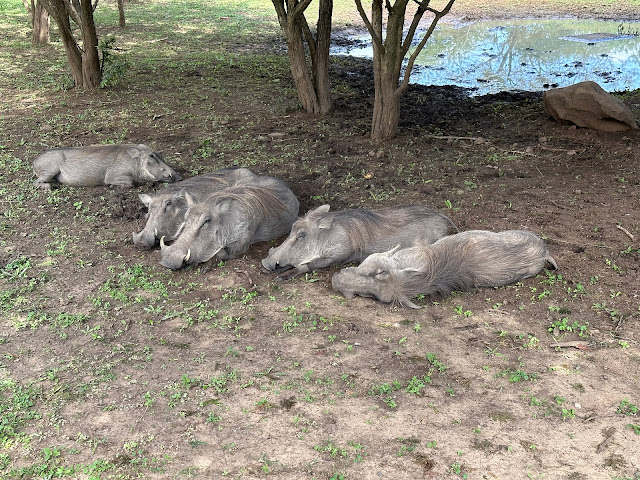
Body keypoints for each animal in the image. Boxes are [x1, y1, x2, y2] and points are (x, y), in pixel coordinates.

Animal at [32, 144, 181, 189]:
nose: (179, 177)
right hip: (49, 170)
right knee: (37, 182)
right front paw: (111, 186)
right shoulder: (113, 176)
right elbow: (130, 182)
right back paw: (48, 187)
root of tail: (35, 161)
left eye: (161, 155)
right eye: (151, 156)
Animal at [159, 178, 299, 271]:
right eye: (186, 217)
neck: (227, 221)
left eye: (206, 221)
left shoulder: (241, 245)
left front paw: (204, 267)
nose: (168, 260)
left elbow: (221, 253)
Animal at [261, 204, 458, 280]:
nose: (265, 263)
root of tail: (441, 216)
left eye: (301, 235)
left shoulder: (337, 257)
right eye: (292, 228)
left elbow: (307, 265)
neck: (328, 237)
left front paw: (282, 276)